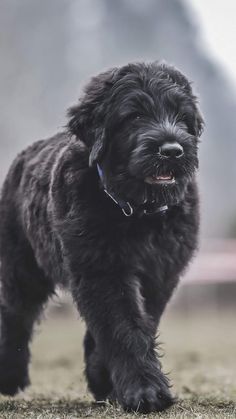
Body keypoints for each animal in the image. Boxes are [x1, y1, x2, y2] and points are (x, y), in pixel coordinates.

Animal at [0, 61, 203, 414]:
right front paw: (145, 391)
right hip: (20, 267)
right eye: (134, 115)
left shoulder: (160, 274)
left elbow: (137, 322)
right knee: (15, 314)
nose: (172, 150)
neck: (137, 211)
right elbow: (122, 325)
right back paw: (10, 376)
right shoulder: (101, 269)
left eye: (181, 115)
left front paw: (108, 380)